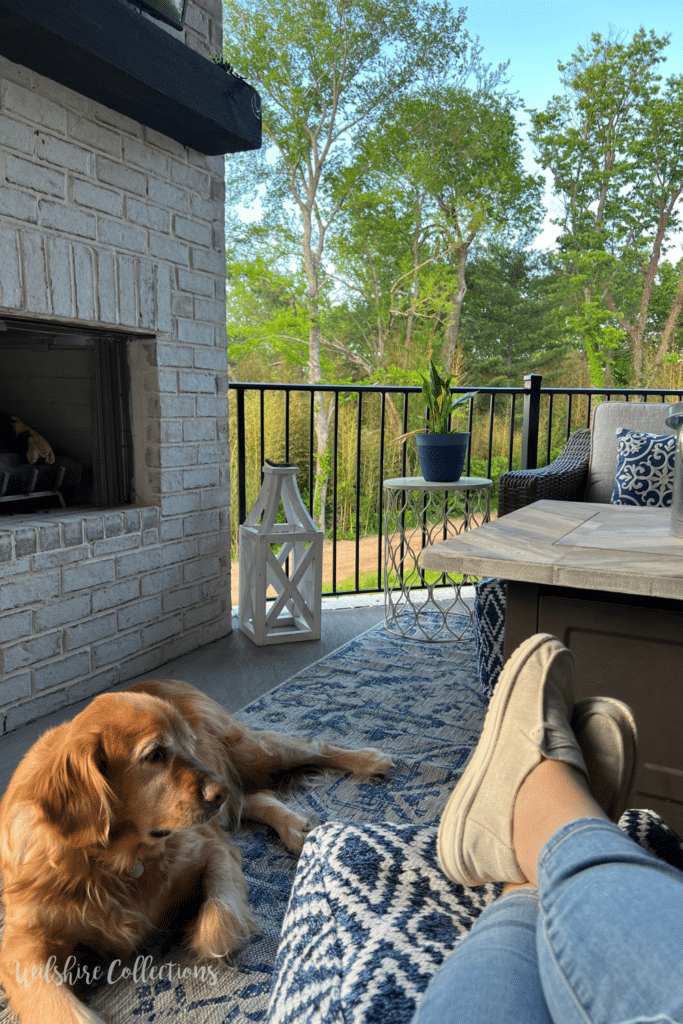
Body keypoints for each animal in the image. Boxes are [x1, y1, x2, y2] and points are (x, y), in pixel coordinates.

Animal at [0, 679, 393, 1024]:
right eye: (155, 755)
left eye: (185, 747)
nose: (217, 792)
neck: (115, 863)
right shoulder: (21, 943)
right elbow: (54, 1004)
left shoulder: (209, 848)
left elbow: (218, 916)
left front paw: (205, 934)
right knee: (252, 798)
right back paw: (295, 826)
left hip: (250, 752)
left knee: (312, 746)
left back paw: (369, 760)